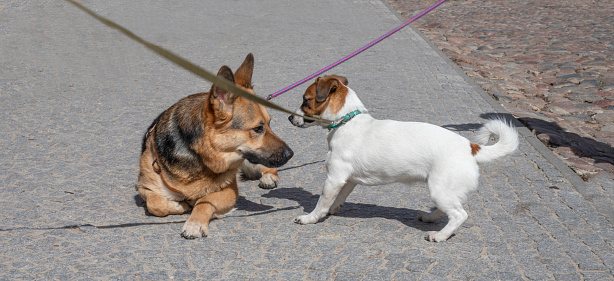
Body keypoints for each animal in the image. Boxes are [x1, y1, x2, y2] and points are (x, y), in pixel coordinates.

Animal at [138, 53, 294, 237]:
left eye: (269, 124)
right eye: (258, 128)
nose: (291, 153)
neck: (200, 158)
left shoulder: (229, 191)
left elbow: (205, 200)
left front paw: (195, 222)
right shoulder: (144, 186)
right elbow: (154, 204)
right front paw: (178, 205)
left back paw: (269, 177)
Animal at [290, 75, 520, 241]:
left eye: (305, 100)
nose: (290, 117)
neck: (347, 122)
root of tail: (471, 147)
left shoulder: (334, 178)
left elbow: (322, 202)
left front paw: (311, 218)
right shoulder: (348, 180)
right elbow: (337, 199)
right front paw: (331, 210)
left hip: (439, 190)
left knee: (459, 215)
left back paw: (440, 236)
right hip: (444, 192)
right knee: (448, 210)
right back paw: (429, 217)